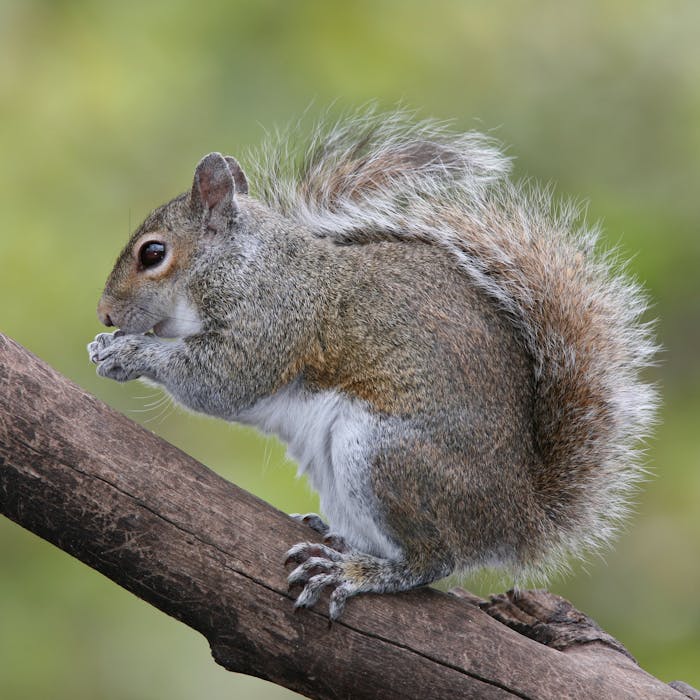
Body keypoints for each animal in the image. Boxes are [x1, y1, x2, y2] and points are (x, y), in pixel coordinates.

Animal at [86, 108, 656, 616]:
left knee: (432, 560)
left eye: (153, 254)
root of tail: (517, 519)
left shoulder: (272, 320)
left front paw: (127, 352)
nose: (105, 314)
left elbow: (221, 380)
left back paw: (356, 572)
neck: (240, 263)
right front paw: (103, 346)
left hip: (384, 456)